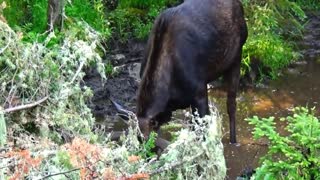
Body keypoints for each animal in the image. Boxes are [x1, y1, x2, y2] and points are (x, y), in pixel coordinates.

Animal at [137, 0, 248, 143]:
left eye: (146, 140)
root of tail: (239, 5)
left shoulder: (200, 93)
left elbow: (203, 131)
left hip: (236, 57)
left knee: (231, 104)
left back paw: (233, 141)